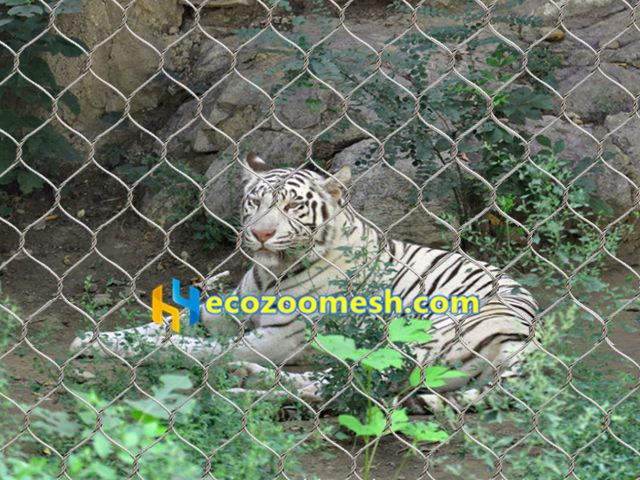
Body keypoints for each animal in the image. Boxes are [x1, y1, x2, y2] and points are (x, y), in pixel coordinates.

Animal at [70, 153, 538, 409]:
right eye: (255, 202)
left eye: (293, 206)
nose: (260, 233)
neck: (270, 272)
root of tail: (528, 339)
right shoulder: (227, 314)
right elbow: (163, 326)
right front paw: (93, 340)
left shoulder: (278, 339)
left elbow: (195, 349)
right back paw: (248, 380)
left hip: (413, 338)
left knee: (346, 387)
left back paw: (242, 388)